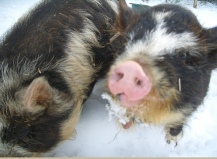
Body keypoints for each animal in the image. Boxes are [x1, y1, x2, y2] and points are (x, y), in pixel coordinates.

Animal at [106, 0, 217, 144]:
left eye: (183, 55)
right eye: (127, 41)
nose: (131, 68)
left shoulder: (193, 103)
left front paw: (171, 142)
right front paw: (125, 124)